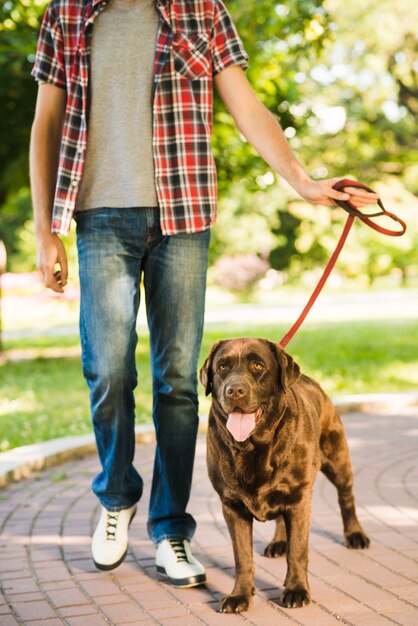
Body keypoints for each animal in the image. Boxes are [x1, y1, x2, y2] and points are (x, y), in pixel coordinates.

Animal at [200, 336, 370, 608]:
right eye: (222, 367)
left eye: (258, 366)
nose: (234, 390)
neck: (253, 447)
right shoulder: (232, 505)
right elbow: (242, 557)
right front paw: (240, 594)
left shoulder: (300, 498)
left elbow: (298, 551)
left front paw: (296, 590)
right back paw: (279, 541)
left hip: (338, 460)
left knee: (346, 496)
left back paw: (355, 535)